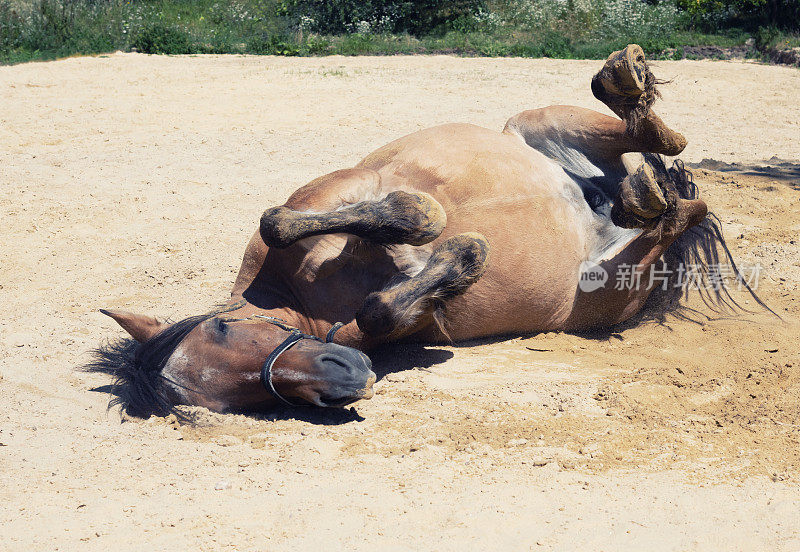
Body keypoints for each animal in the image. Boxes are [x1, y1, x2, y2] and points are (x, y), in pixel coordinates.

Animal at [87, 46, 764, 418]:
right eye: (237, 401)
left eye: (223, 329)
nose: (345, 380)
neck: (301, 294)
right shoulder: (403, 322)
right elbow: (384, 307)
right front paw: (462, 256)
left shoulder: (344, 188)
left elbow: (305, 220)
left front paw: (439, 235)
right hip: (604, 278)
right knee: (670, 203)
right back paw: (641, 194)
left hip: (542, 126)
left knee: (661, 147)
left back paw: (629, 94)